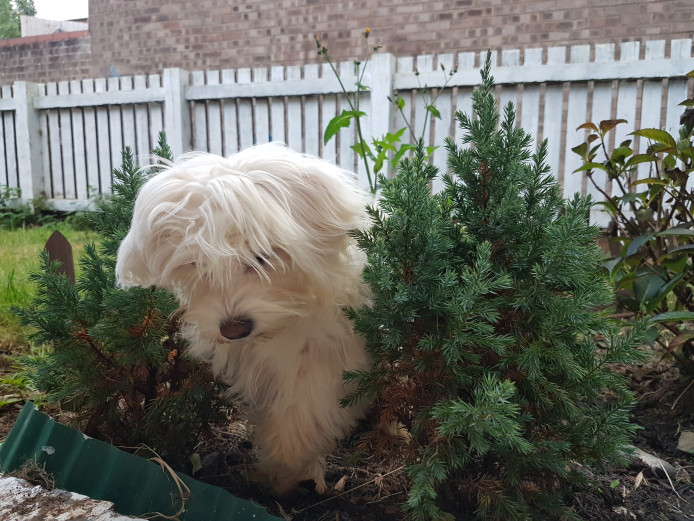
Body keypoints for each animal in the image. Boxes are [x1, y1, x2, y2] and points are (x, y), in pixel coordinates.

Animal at [117, 141, 372, 492]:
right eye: (195, 264)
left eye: (262, 256)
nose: (234, 329)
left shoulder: (321, 364)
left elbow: (300, 417)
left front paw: (280, 473)